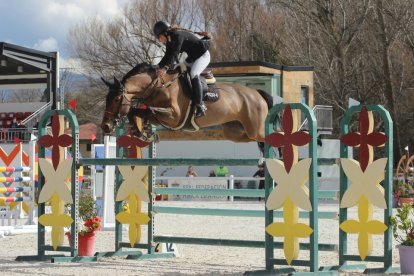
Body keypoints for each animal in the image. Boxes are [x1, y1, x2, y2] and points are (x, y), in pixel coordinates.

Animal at [102, 62, 274, 151]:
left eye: (116, 99)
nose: (106, 126)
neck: (158, 85)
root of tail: (257, 93)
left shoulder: (174, 117)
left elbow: (146, 110)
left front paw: (143, 131)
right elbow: (137, 112)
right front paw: (143, 133)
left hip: (255, 128)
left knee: (267, 136)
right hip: (234, 131)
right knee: (253, 140)